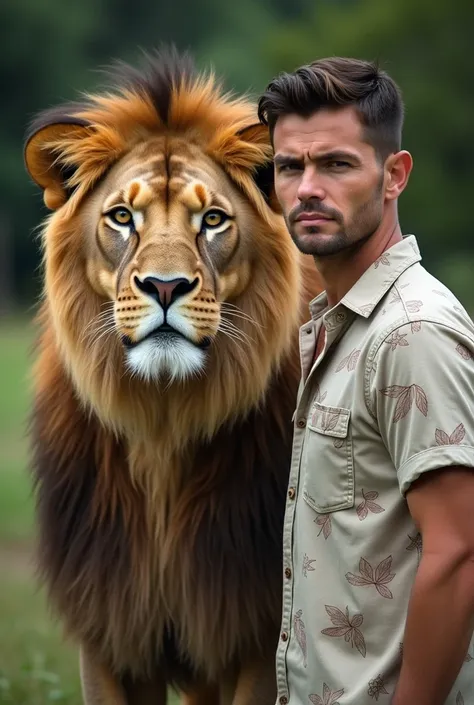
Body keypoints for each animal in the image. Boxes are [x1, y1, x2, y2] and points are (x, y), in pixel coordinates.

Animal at [23, 46, 322, 700]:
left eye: (211, 219)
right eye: (120, 217)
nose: (165, 286)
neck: (162, 429)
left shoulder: (253, 626)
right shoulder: (110, 627)